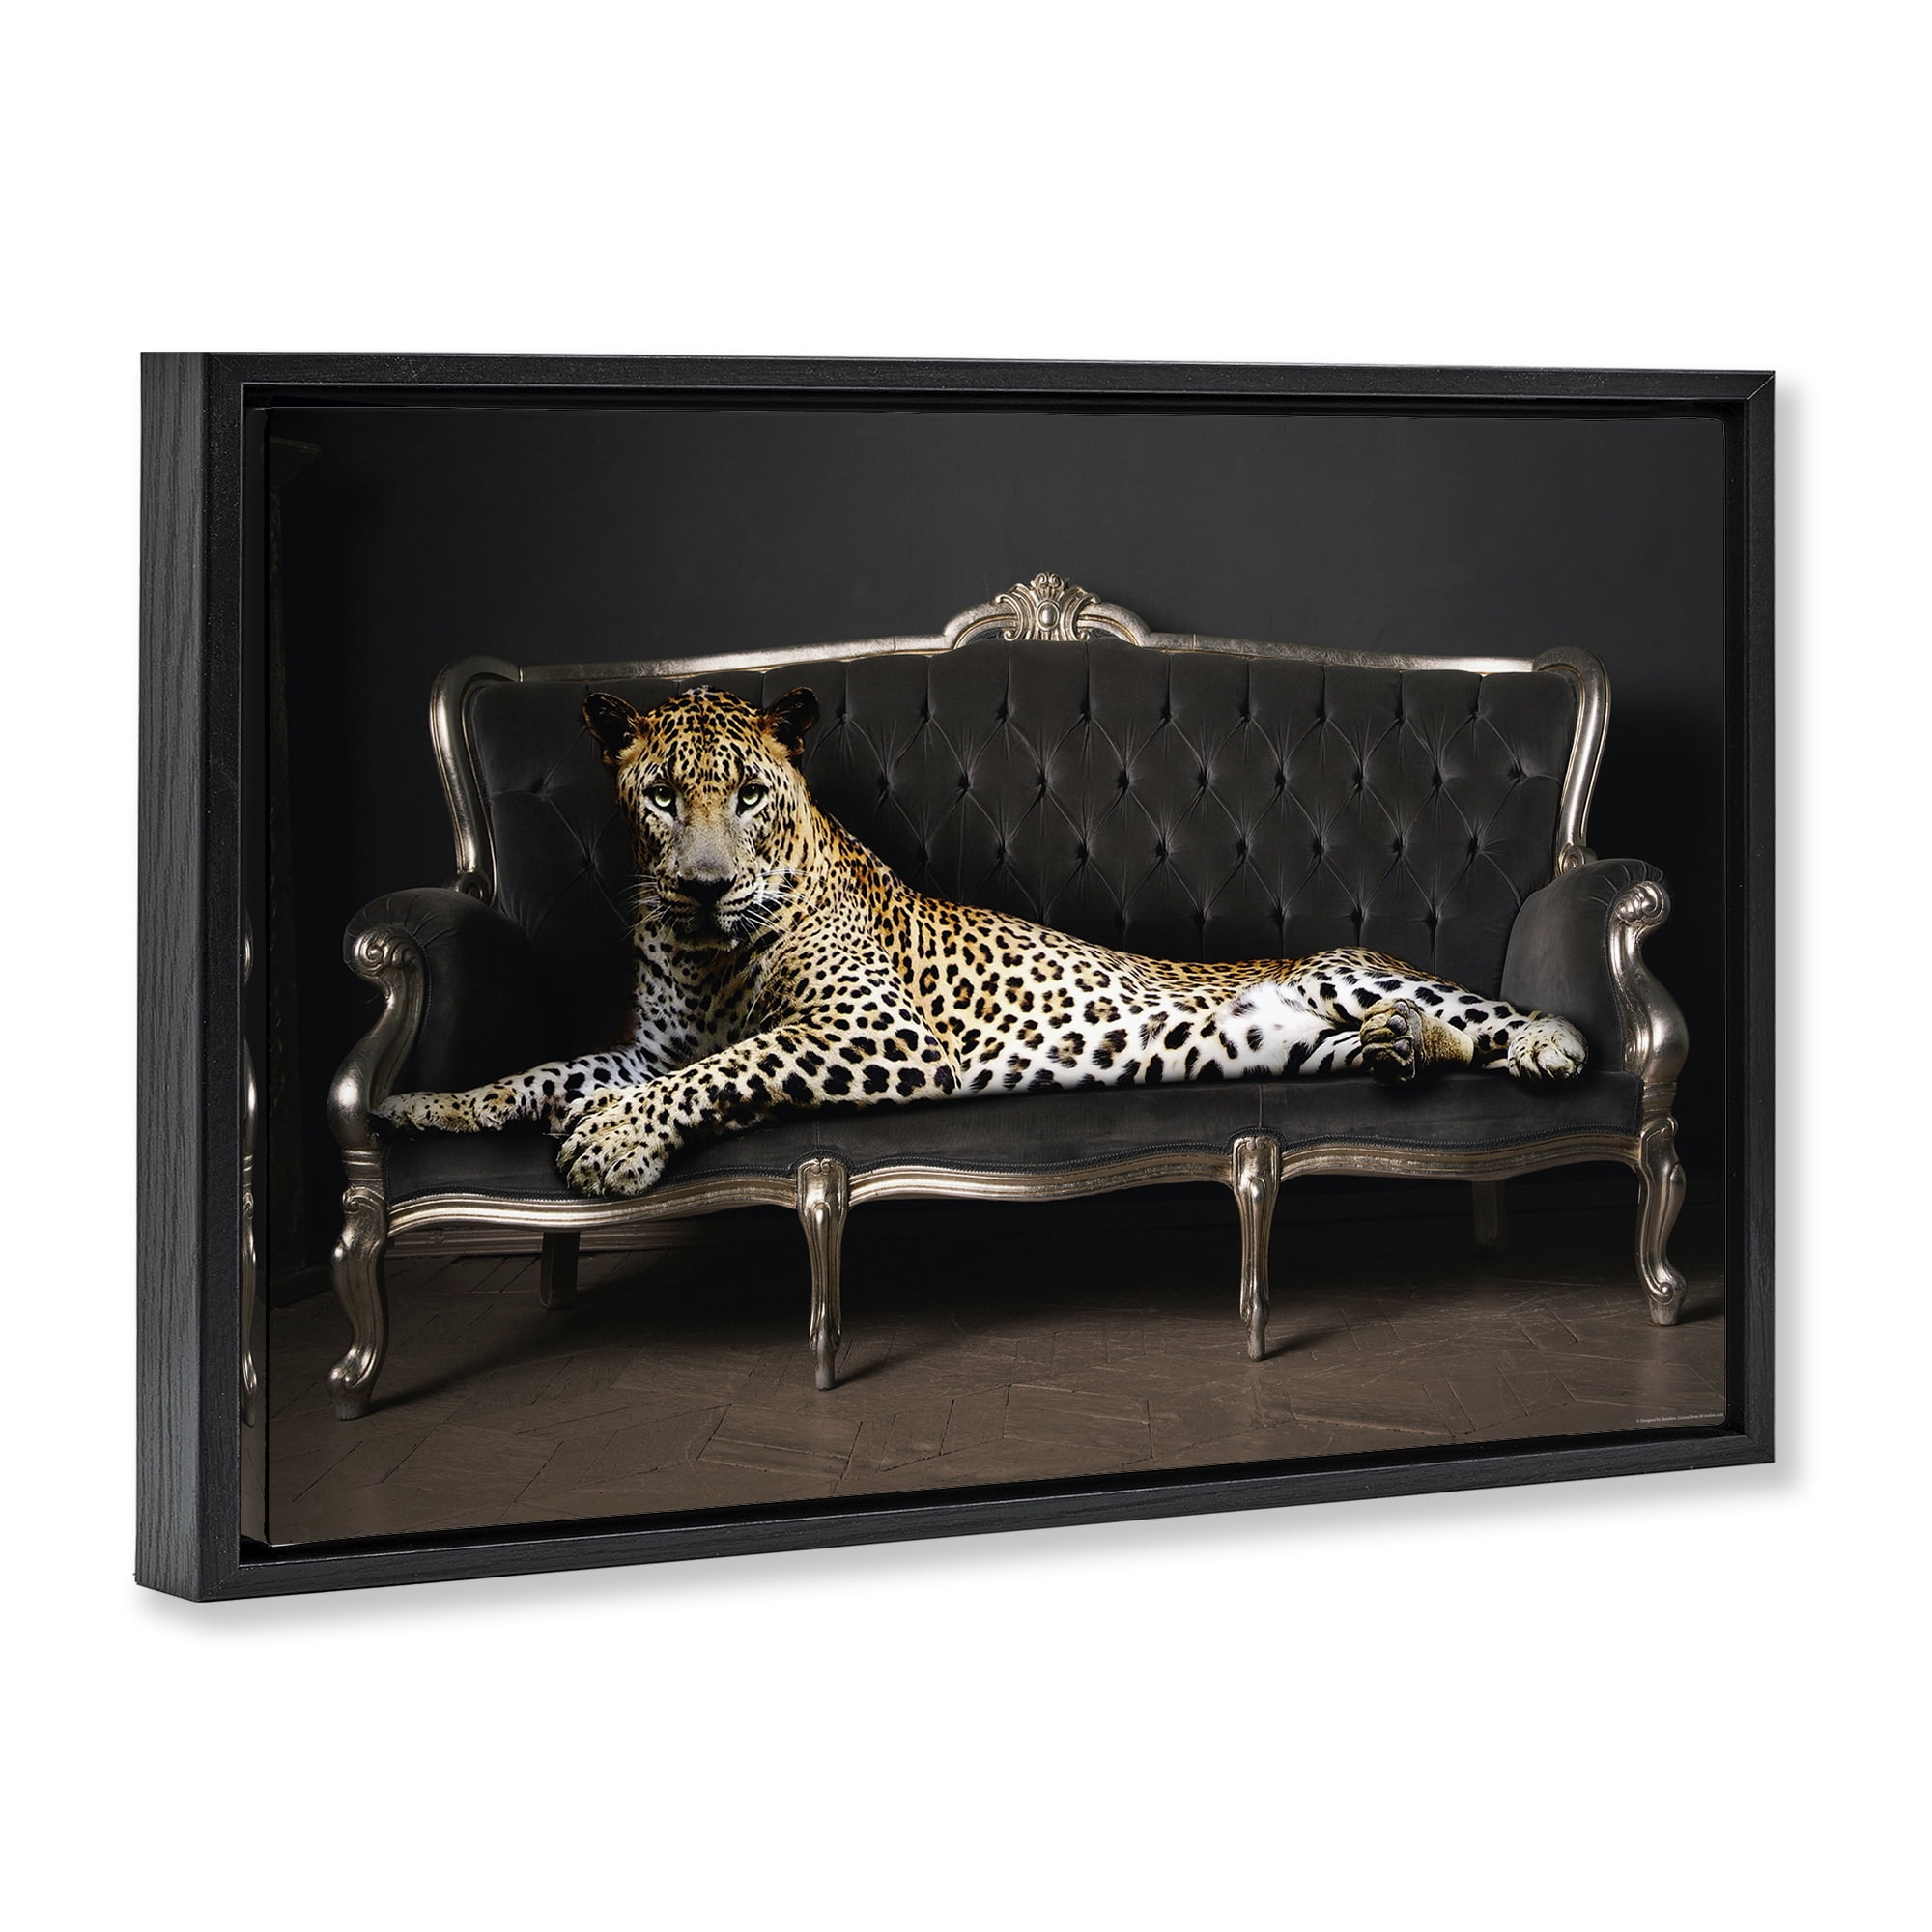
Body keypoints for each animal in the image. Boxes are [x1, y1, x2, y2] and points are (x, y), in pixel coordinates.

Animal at [377, 684, 1589, 1197]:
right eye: (664, 797)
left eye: (751, 795)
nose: (707, 887)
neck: (715, 950)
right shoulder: (648, 1043)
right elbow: (547, 1069)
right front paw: (429, 1106)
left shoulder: (879, 1031)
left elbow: (734, 1064)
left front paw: (615, 1139)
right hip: (1287, 1041)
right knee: (1412, 1041)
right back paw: (1398, 1052)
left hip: (1353, 972)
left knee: (1483, 1017)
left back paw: (1543, 1044)